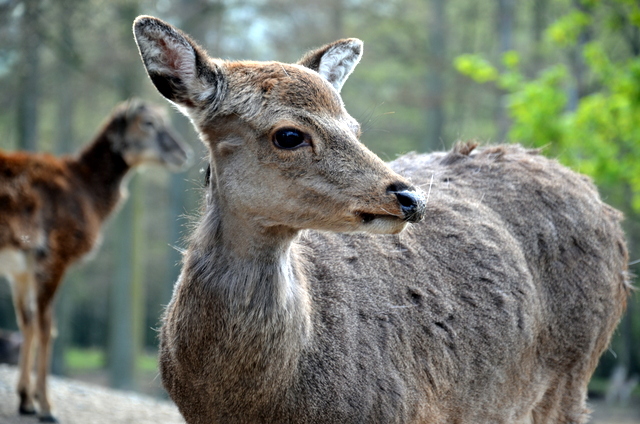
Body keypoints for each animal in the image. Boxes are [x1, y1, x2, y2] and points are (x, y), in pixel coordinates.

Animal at [0, 98, 192, 420]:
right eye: (148, 123)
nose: (183, 153)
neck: (85, 191)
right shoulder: (53, 255)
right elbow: (47, 327)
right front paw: (47, 408)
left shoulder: (20, 269)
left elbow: (27, 323)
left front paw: (26, 401)